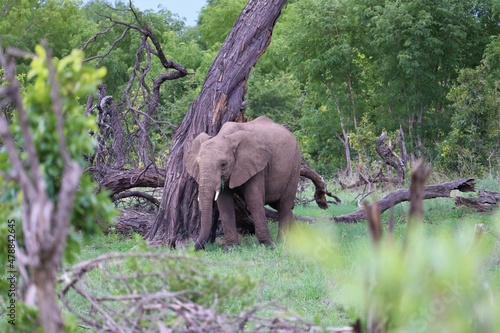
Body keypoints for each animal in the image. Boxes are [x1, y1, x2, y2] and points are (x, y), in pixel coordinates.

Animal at [184, 116, 300, 249]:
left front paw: (268, 246)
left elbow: (253, 199)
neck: (225, 136)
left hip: (295, 166)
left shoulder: (257, 165)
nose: (196, 248)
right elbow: (224, 202)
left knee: (284, 204)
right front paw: (230, 248)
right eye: (198, 165)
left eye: (223, 164)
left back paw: (282, 242)